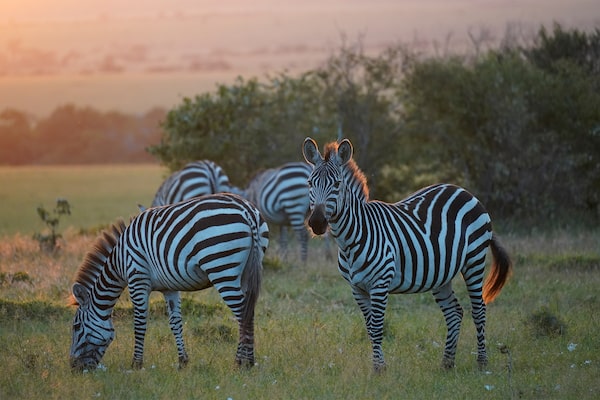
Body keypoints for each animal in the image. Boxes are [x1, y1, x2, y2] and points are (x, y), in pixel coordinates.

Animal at [68, 194, 270, 372]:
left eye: (76, 327)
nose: (73, 368)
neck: (119, 261)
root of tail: (247, 210)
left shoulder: (137, 279)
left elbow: (139, 322)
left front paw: (136, 364)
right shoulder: (169, 288)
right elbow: (175, 322)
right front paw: (182, 362)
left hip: (222, 268)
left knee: (243, 314)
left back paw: (242, 363)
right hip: (246, 270)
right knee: (248, 312)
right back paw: (247, 360)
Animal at [302, 138, 512, 372]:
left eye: (337, 184)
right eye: (310, 183)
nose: (317, 223)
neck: (351, 240)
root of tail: (463, 191)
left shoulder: (380, 283)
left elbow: (377, 328)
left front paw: (379, 369)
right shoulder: (357, 288)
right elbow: (369, 329)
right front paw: (378, 366)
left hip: (474, 260)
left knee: (479, 310)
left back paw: (482, 363)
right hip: (441, 273)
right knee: (455, 313)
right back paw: (447, 363)